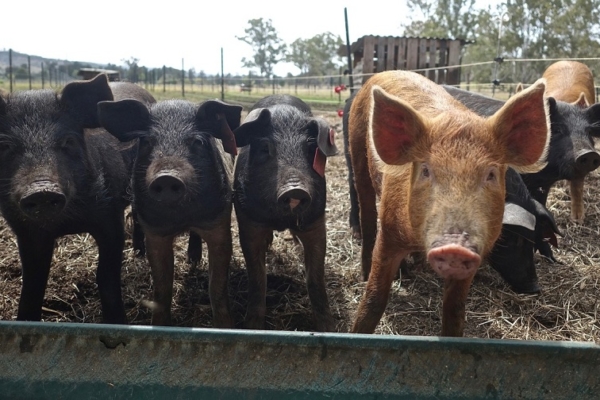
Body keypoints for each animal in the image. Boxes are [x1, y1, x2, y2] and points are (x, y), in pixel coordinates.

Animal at [0, 74, 135, 324]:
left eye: (67, 141)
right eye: (5, 145)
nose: (42, 190)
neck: (68, 225)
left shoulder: (111, 216)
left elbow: (106, 276)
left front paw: (118, 324)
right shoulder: (25, 231)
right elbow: (32, 283)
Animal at [97, 97, 240, 328]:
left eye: (197, 141)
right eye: (147, 141)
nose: (166, 176)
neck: (181, 217)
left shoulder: (219, 222)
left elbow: (217, 286)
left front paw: (225, 327)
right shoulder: (155, 232)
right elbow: (162, 287)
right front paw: (160, 325)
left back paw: (193, 259)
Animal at [232, 93, 338, 332]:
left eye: (310, 148)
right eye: (265, 147)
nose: (295, 189)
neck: (280, 220)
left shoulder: (316, 222)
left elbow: (315, 278)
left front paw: (328, 328)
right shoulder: (248, 221)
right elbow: (257, 277)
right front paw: (252, 326)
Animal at [346, 70, 548, 336]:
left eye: (491, 174)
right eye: (425, 170)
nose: (455, 247)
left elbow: (454, 311)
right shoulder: (388, 232)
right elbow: (374, 298)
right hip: (357, 152)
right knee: (367, 213)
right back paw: (366, 271)